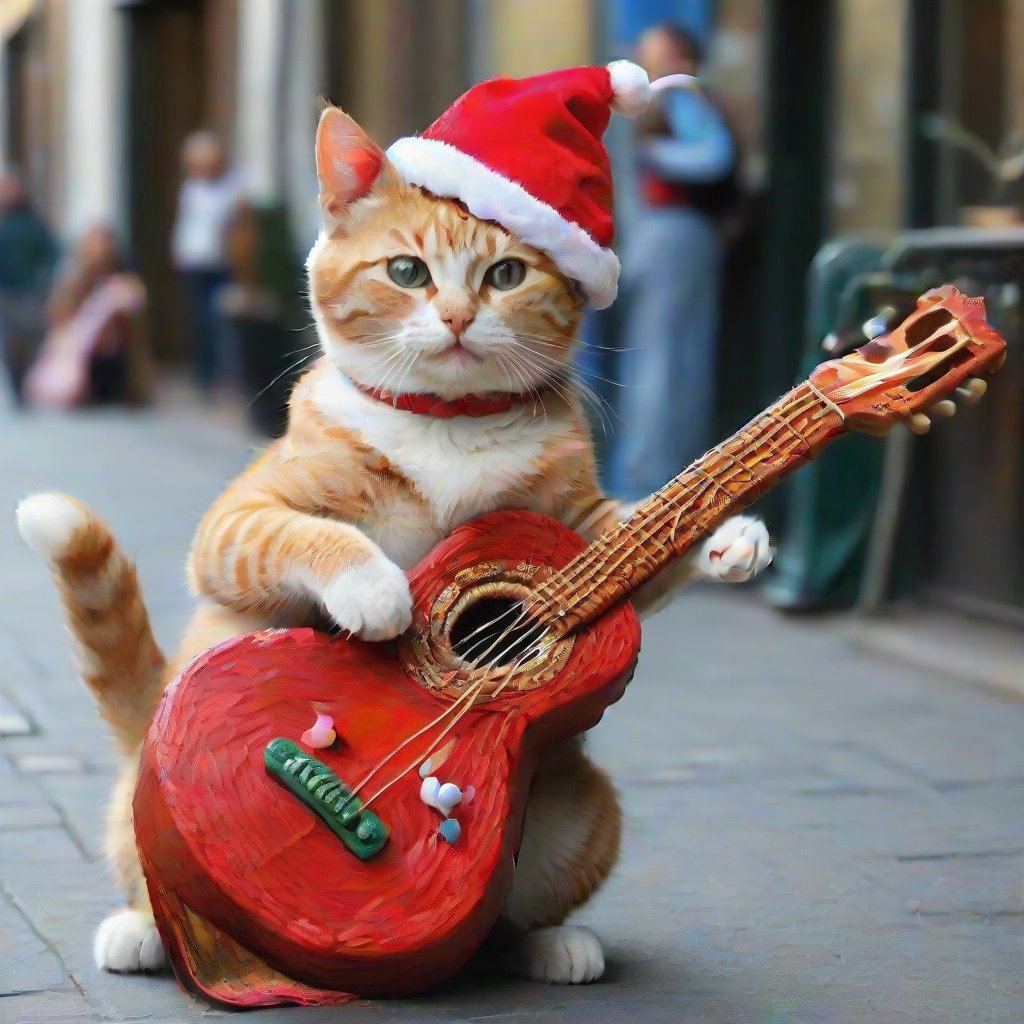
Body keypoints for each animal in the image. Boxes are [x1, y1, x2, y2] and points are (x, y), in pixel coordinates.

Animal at [16, 103, 770, 983]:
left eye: (506, 275)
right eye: (407, 272)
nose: (457, 318)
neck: (449, 427)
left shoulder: (578, 533)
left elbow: (638, 543)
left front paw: (727, 533)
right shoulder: (237, 521)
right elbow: (303, 533)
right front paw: (375, 590)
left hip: (584, 813)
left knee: (501, 924)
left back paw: (551, 944)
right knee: (156, 881)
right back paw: (140, 932)